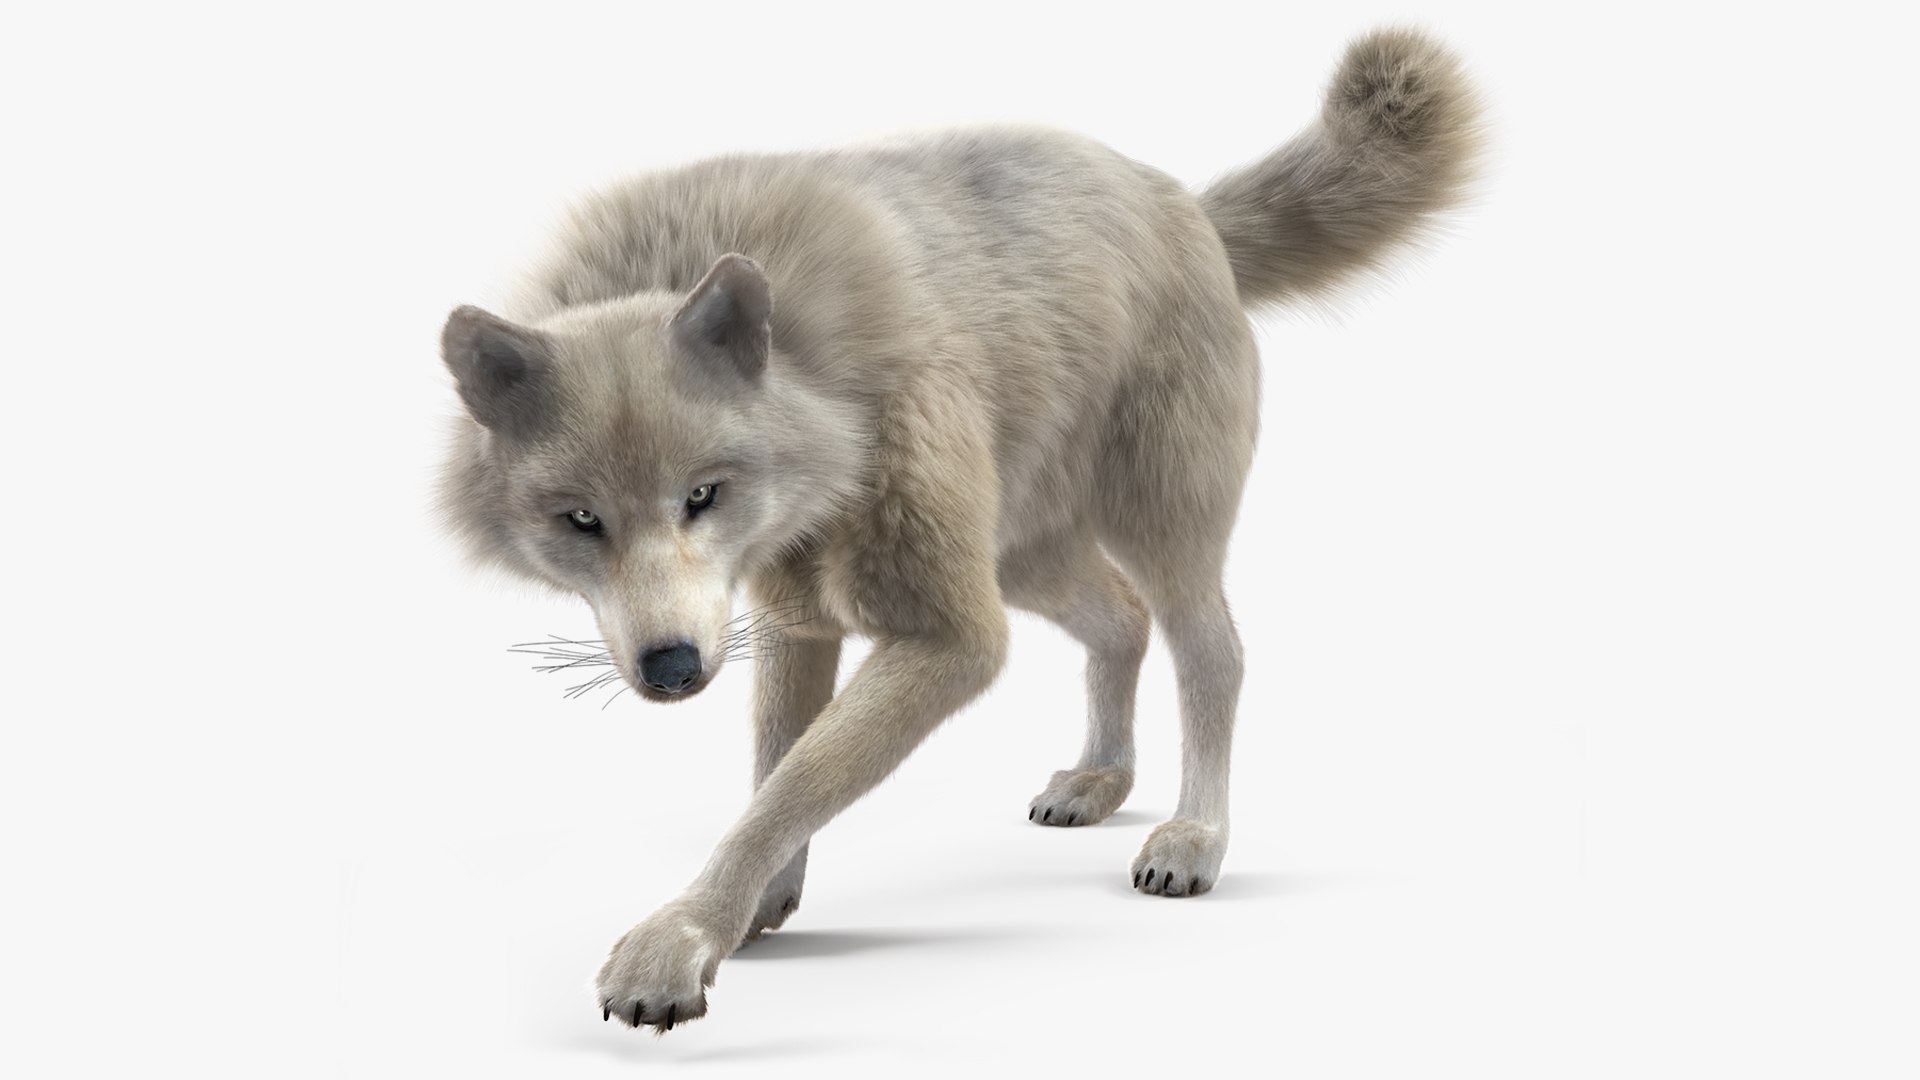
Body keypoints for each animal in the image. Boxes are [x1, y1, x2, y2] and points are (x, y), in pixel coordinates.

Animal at [436, 27, 1481, 1032]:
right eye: (582, 520)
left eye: (703, 495)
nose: (672, 669)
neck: (823, 390)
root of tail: (1182, 201)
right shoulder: (794, 617)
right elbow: (775, 767)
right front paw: (760, 905)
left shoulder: (950, 635)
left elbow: (794, 782)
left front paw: (679, 941)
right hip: (1024, 553)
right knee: (1122, 619)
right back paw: (1098, 781)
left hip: (1152, 524)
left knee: (1211, 649)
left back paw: (1193, 840)